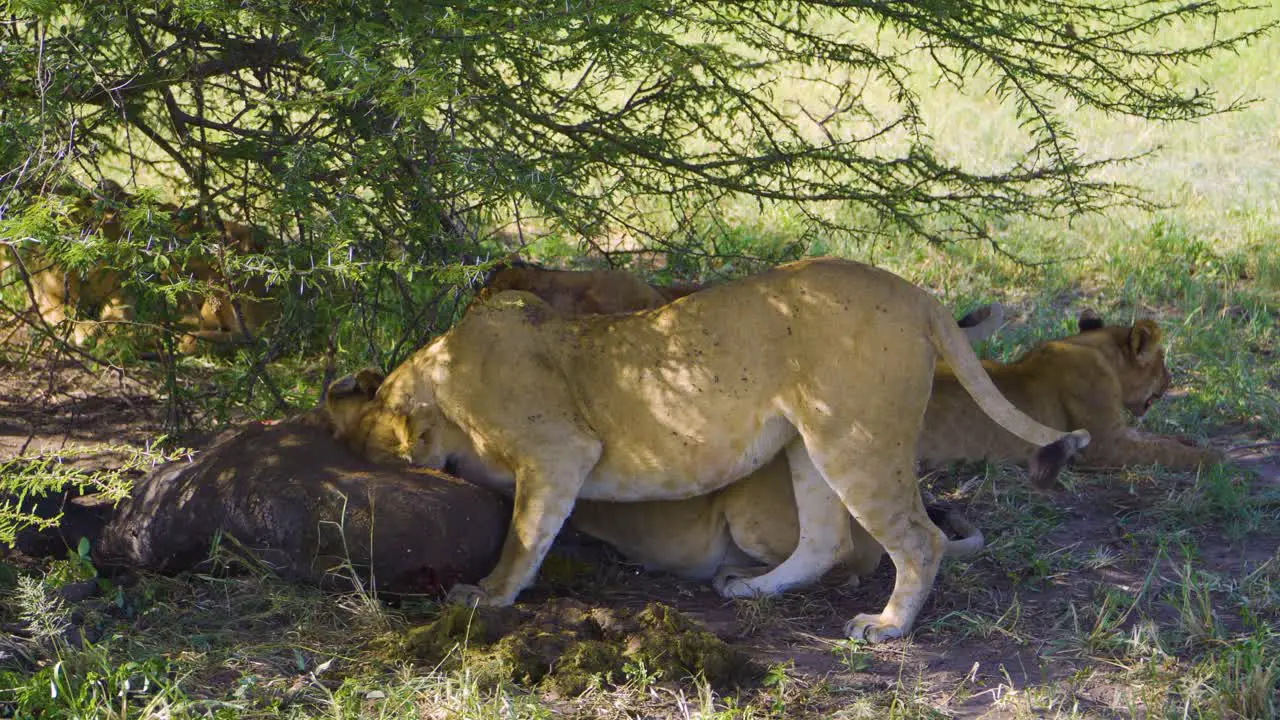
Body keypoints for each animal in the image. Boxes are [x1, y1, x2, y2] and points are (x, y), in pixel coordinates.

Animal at [330, 256, 1090, 638]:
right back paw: (751, 588)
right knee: (826, 541)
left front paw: (487, 596)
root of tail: (916, 294)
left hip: (856, 439)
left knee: (918, 540)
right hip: (808, 445)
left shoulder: (558, 451)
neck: (438, 376)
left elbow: (522, 536)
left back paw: (886, 626)